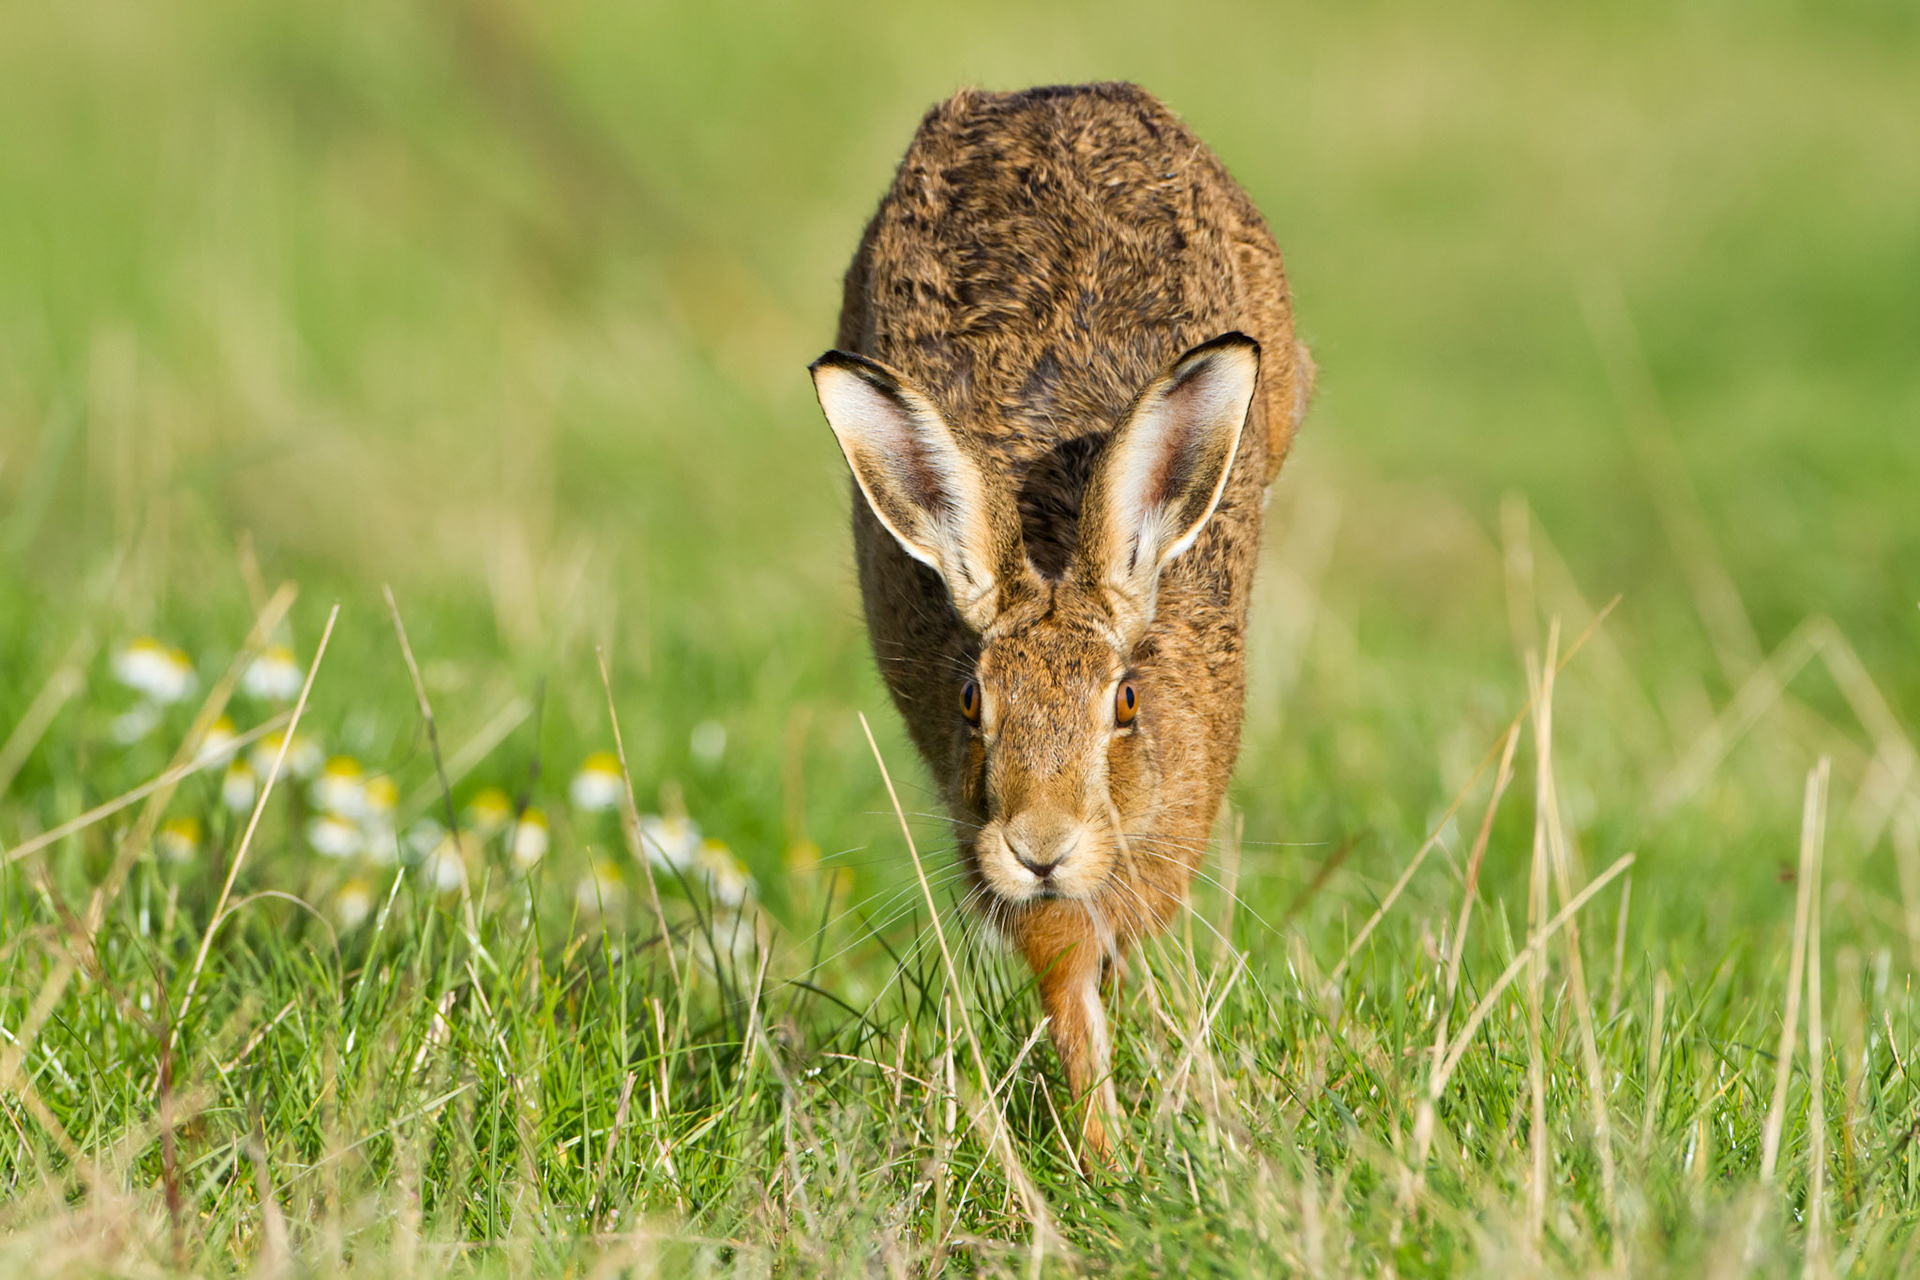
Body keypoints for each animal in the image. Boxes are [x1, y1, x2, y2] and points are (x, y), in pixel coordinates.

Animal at [810, 82, 1312, 1161]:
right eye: (972, 702)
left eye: (1123, 703)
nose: (1040, 845)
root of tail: (1038, 95)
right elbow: (1068, 983)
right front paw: (1101, 1148)